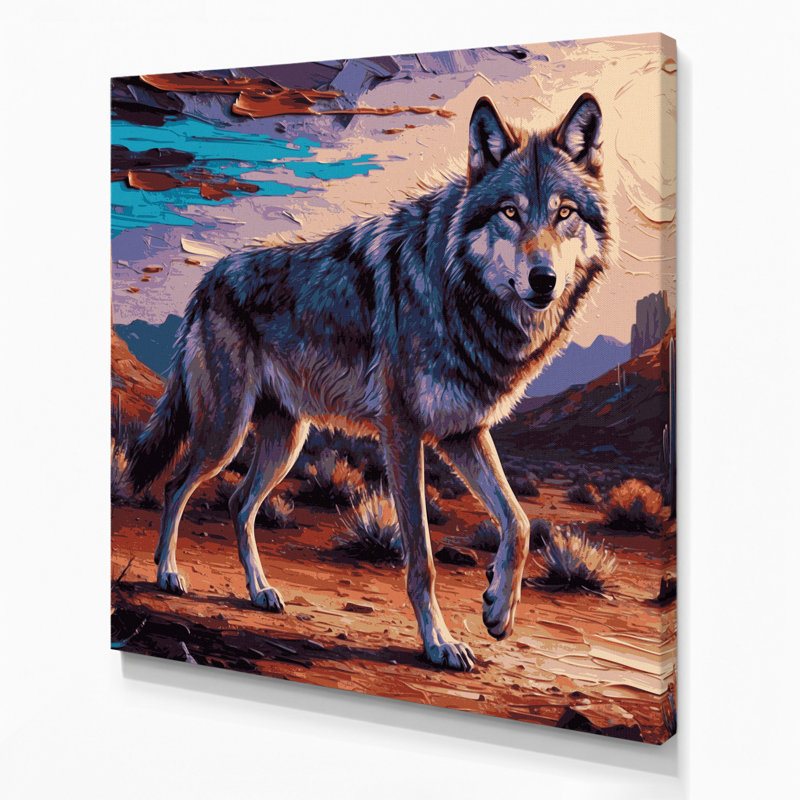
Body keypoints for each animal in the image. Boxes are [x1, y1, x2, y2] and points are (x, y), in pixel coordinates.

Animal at [128, 93, 610, 671]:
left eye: (565, 213)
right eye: (510, 212)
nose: (544, 280)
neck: (456, 289)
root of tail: (207, 278)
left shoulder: (461, 432)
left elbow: (517, 521)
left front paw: (498, 608)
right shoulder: (402, 431)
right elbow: (422, 556)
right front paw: (439, 643)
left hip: (286, 442)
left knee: (239, 503)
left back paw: (260, 592)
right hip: (225, 432)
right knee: (176, 485)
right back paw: (167, 573)